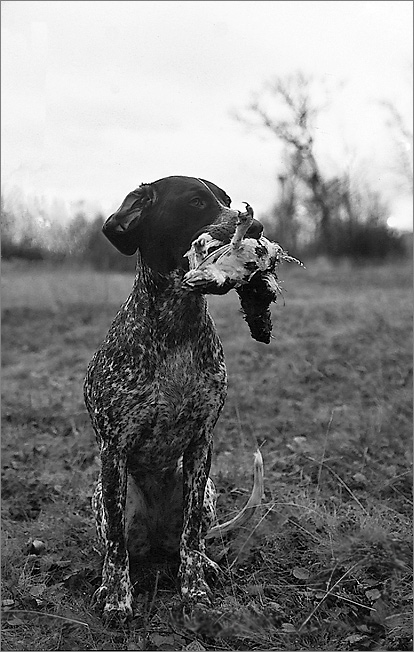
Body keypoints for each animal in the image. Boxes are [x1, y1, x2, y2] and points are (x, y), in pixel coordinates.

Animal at [84, 176, 264, 624]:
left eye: (228, 200)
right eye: (196, 202)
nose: (255, 228)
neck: (177, 325)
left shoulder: (201, 445)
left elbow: (192, 539)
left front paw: (194, 589)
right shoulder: (114, 450)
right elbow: (116, 546)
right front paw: (117, 598)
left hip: (207, 494)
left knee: (190, 538)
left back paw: (203, 563)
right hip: (104, 495)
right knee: (119, 546)